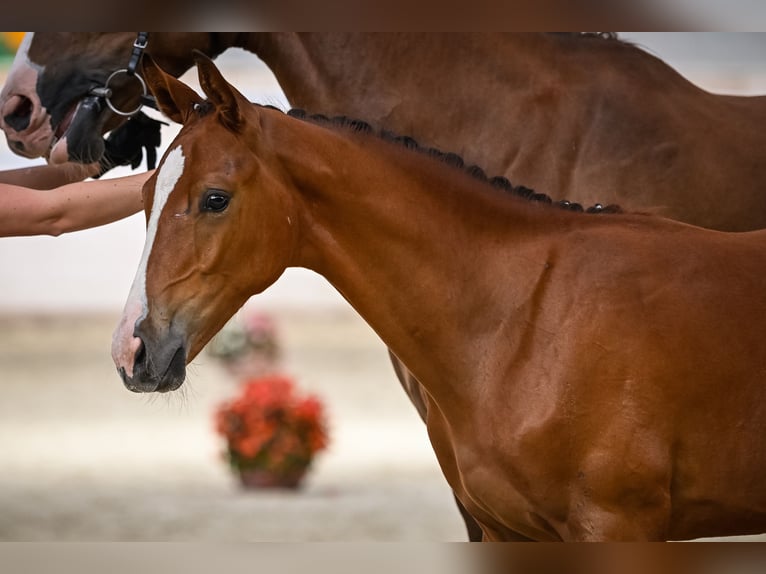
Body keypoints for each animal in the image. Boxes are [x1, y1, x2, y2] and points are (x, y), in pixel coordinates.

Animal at [111, 53, 766, 540]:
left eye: (215, 198)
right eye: (144, 195)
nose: (131, 351)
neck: (526, 320)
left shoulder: (617, 523)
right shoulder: (507, 530)